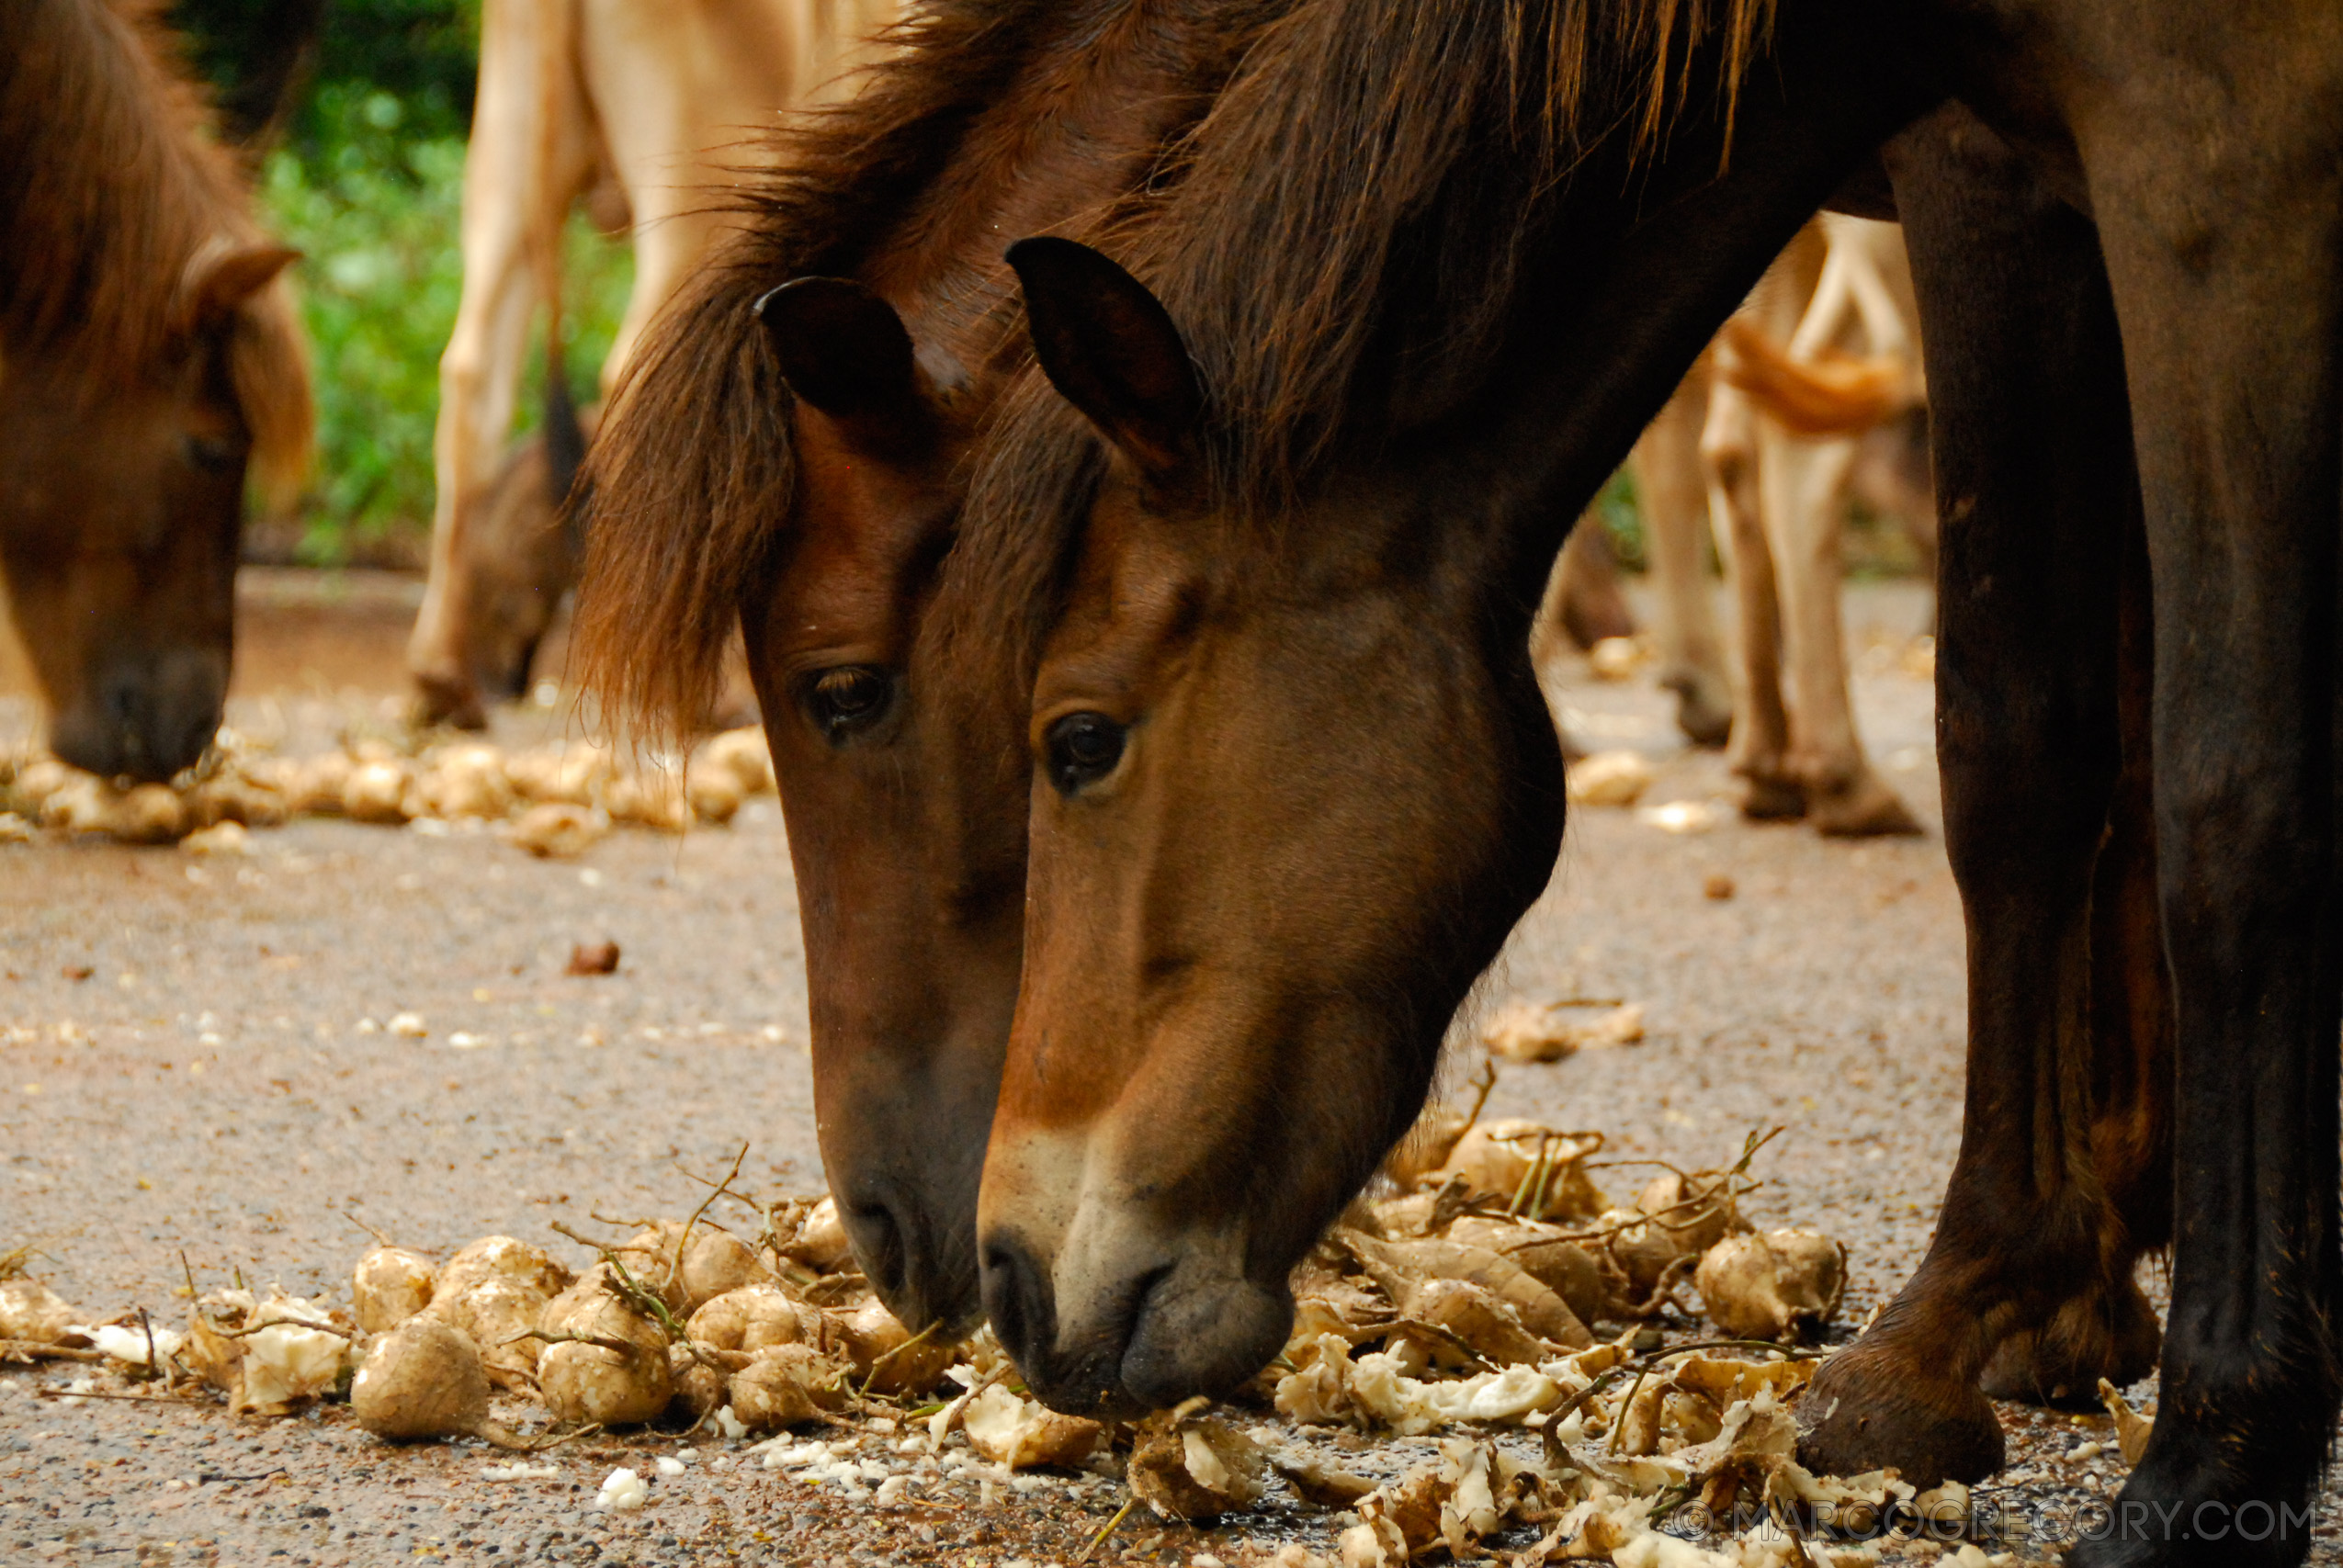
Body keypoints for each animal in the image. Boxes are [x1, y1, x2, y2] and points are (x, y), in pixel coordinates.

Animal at [960, 0, 2333, 1556]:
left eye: (1078, 738)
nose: (1007, 1281)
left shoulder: (2217, 167)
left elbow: (2217, 792)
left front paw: (2213, 1442)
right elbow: (2036, 739)